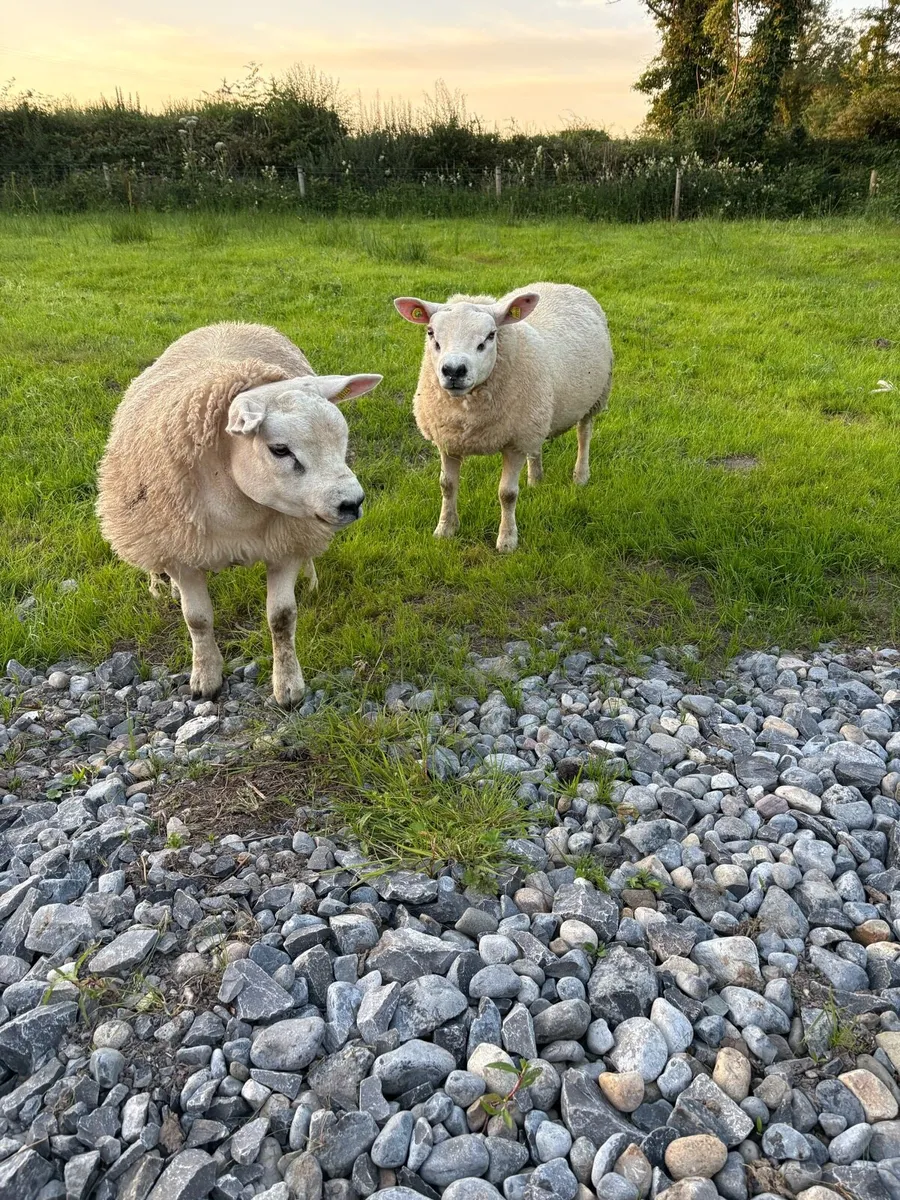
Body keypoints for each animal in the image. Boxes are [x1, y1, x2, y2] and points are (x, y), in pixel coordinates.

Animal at [96, 322, 382, 706]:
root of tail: (224, 325)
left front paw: (288, 687)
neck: (237, 516)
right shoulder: (181, 554)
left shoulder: (285, 543)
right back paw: (160, 585)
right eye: (280, 449)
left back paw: (310, 578)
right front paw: (205, 678)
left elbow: (282, 618)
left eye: (342, 437)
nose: (351, 503)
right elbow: (197, 620)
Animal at [394, 282, 613, 552]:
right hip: (535, 415)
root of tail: (558, 284)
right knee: (536, 446)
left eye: (490, 336)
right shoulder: (448, 439)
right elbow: (447, 486)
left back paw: (581, 476)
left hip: (595, 397)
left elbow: (507, 494)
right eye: (431, 333)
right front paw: (445, 529)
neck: (467, 414)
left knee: (584, 434)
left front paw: (507, 540)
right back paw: (535, 480)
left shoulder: (514, 444)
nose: (454, 370)